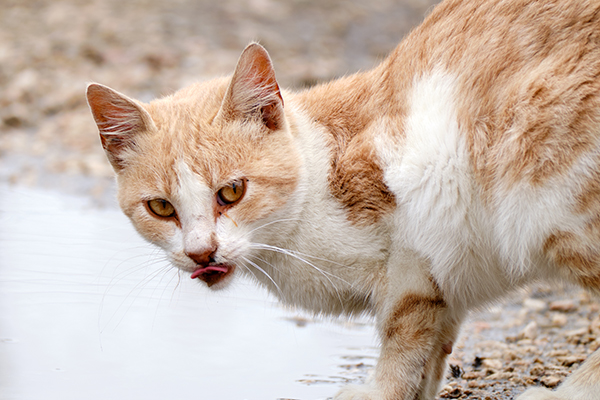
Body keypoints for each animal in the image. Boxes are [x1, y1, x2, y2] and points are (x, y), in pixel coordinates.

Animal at [85, 0, 600, 400]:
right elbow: (434, 343)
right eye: (161, 208)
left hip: (544, 181)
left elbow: (404, 332)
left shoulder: (415, 244)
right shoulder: (441, 286)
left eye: (232, 192)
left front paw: (380, 390)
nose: (201, 252)